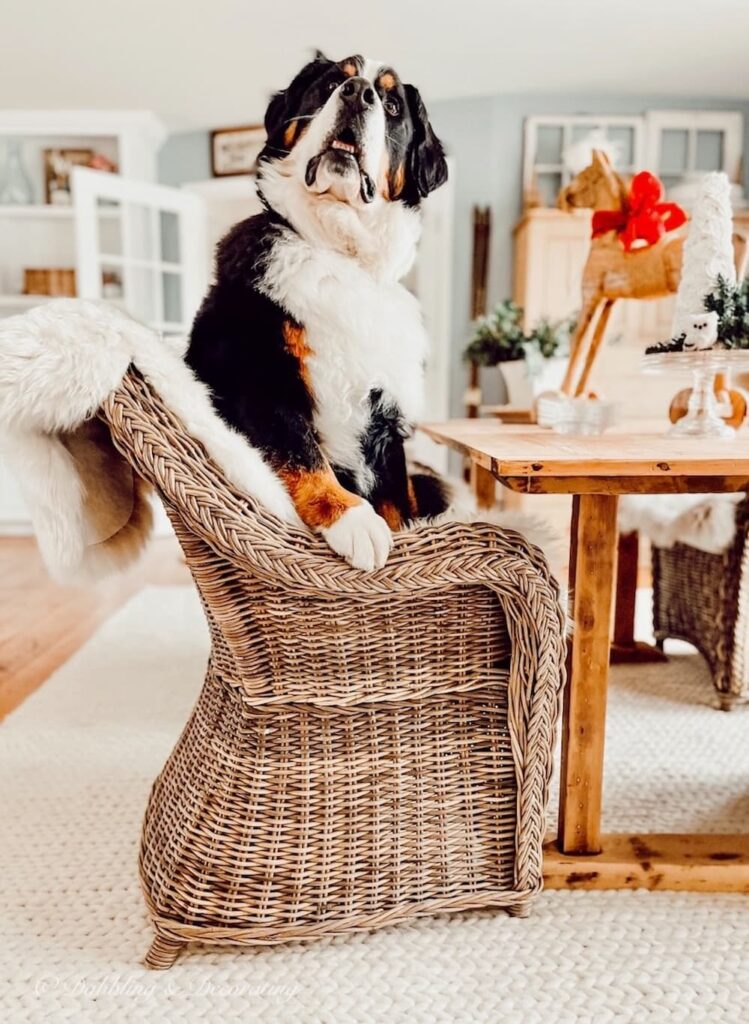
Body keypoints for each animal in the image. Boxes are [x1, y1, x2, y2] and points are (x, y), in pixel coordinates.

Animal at [187, 49, 450, 569]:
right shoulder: (261, 375)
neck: (339, 253)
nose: (359, 93)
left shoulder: (385, 416)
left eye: (392, 106)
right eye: (331, 84)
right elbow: (301, 451)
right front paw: (352, 519)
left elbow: (396, 498)